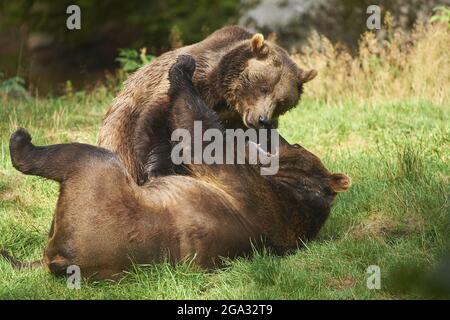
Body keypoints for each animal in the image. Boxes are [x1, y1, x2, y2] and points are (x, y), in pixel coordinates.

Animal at [0, 56, 348, 278]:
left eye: (297, 145)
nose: (267, 126)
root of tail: (61, 258)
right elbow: (164, 160)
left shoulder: (246, 187)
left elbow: (200, 136)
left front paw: (183, 68)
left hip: (97, 202)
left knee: (84, 158)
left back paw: (21, 140)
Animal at [98, 26, 316, 184]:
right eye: (263, 87)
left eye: (282, 102)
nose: (262, 119)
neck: (225, 98)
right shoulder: (193, 77)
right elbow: (160, 120)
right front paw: (159, 170)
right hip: (120, 129)